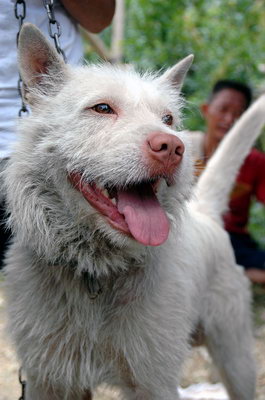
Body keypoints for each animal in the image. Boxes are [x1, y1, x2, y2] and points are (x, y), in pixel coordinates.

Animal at [3, 23, 264, 398]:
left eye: (168, 118)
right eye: (102, 108)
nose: (172, 147)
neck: (95, 271)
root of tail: (205, 213)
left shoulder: (154, 382)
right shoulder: (50, 379)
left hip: (236, 357)